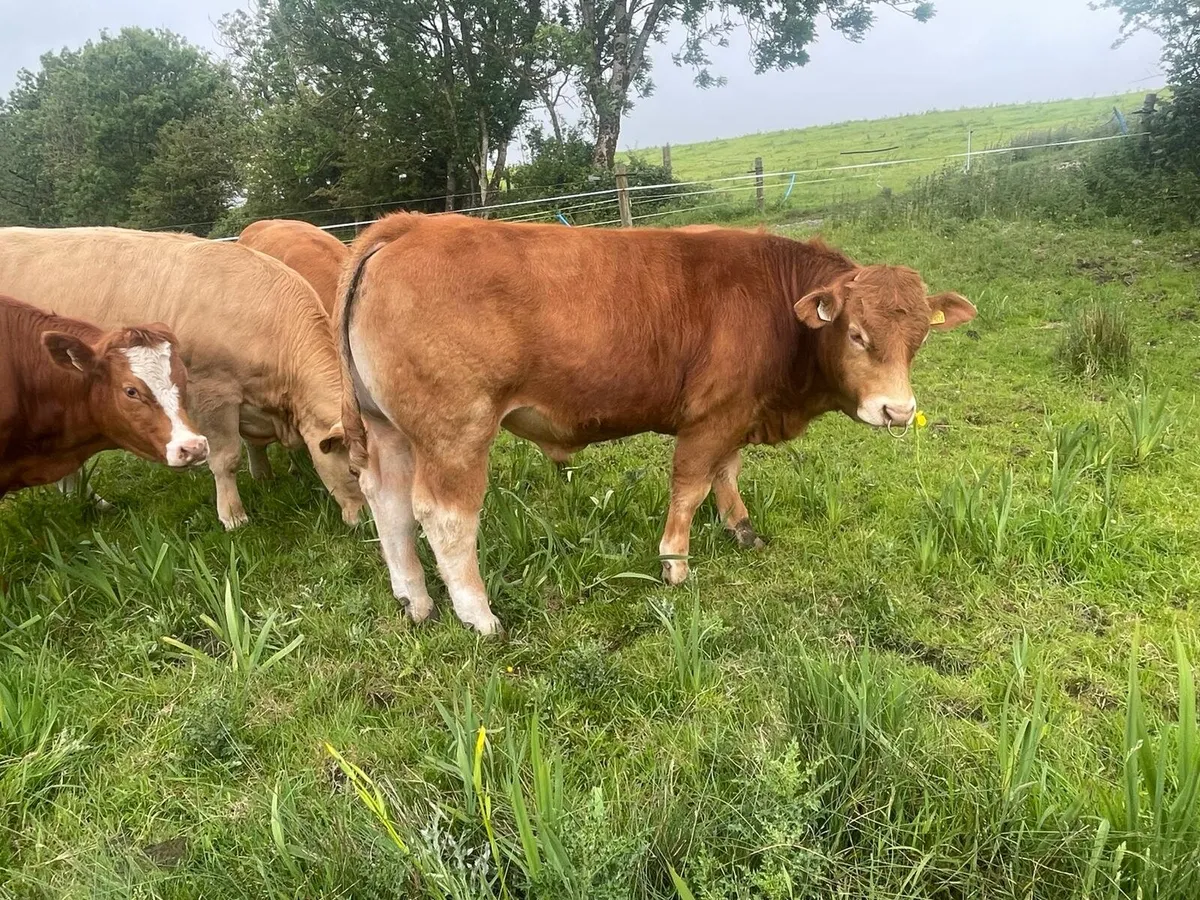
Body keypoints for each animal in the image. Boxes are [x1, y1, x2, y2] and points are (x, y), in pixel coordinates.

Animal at [336, 214, 976, 635]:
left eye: (919, 339)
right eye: (857, 334)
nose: (898, 411)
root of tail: (410, 226)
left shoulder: (735, 413)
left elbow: (726, 473)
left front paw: (742, 528)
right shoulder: (711, 417)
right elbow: (691, 485)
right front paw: (675, 564)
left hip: (389, 430)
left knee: (387, 502)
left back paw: (415, 600)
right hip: (456, 433)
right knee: (443, 517)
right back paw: (478, 614)